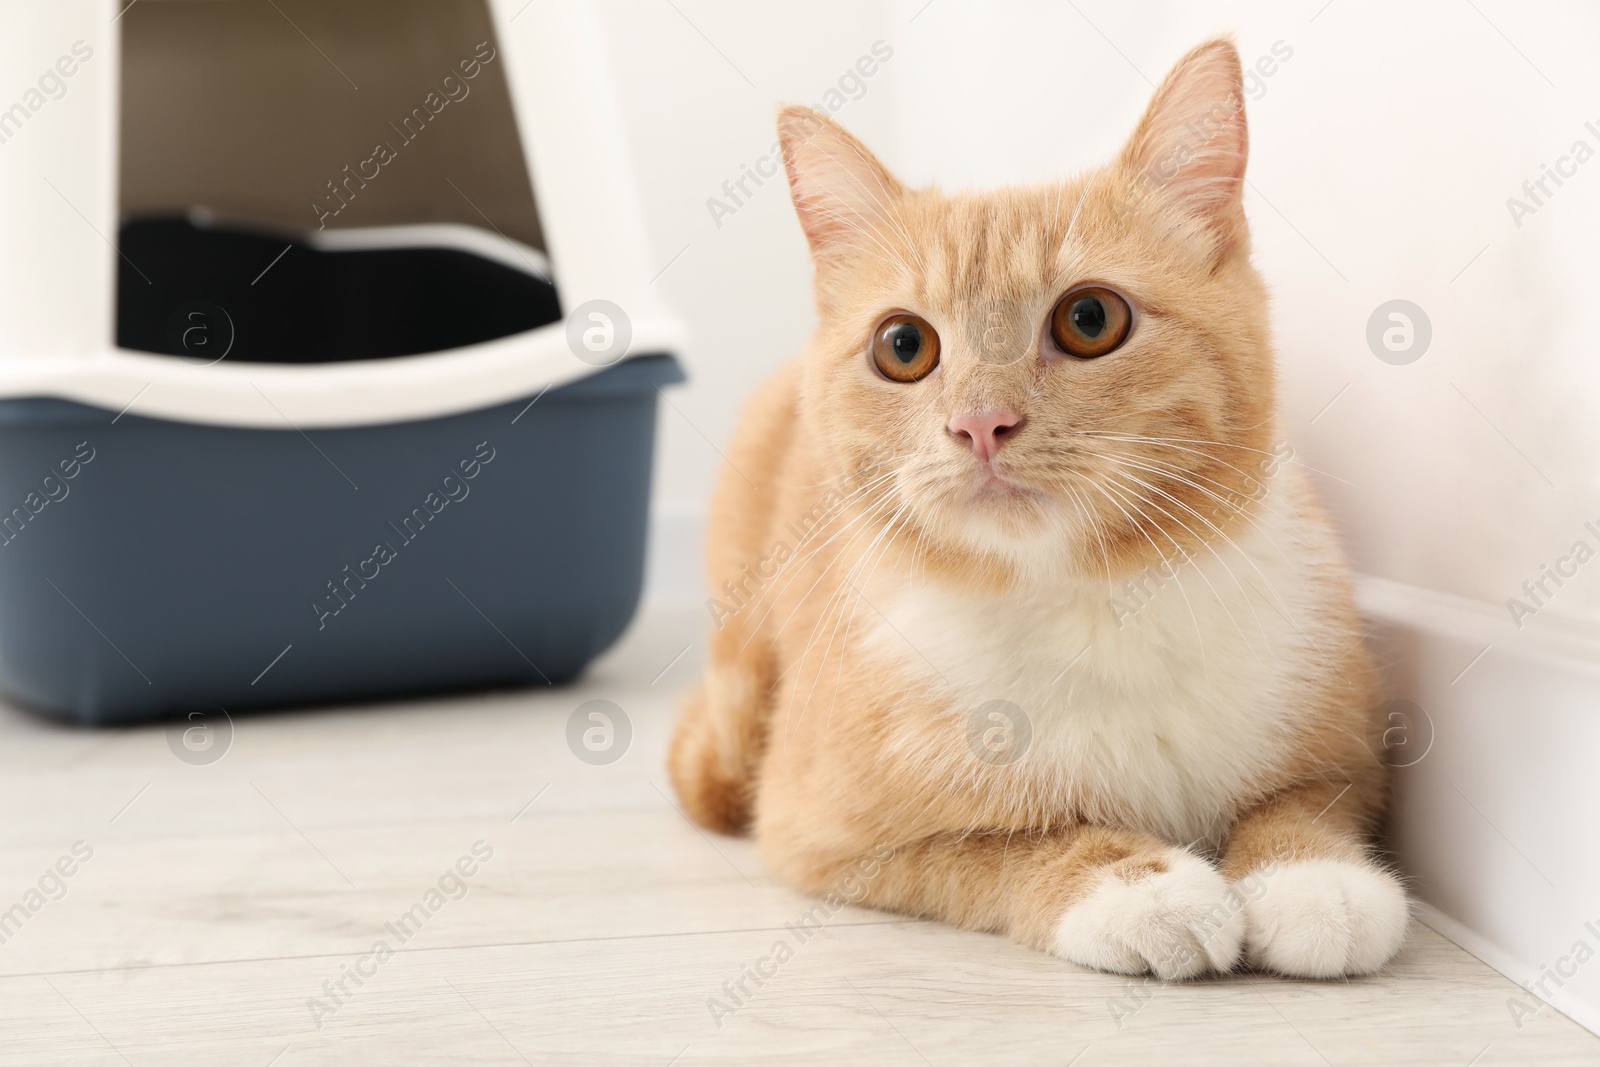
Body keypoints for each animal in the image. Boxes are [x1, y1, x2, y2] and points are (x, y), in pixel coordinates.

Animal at [668, 39, 1408, 979]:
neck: (1090, 603)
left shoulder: (1350, 737)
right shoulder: (817, 830)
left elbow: (1308, 797)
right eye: (903, 345)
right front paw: (1134, 885)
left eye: (1091, 318)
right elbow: (999, 844)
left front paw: (1314, 877)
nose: (980, 422)